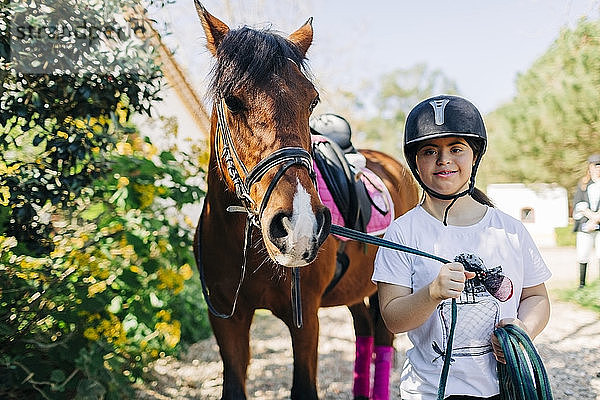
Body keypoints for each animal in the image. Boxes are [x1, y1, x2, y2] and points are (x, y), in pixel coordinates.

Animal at [195, 1, 420, 398]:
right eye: (233, 101)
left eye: (311, 100)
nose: (298, 226)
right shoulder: (227, 320)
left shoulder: (306, 320)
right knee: (363, 331)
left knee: (382, 340)